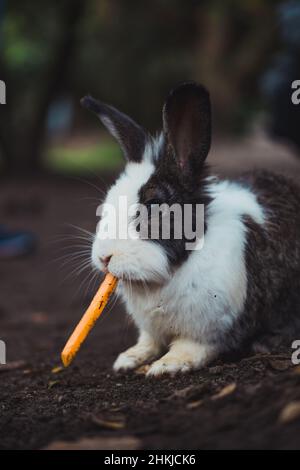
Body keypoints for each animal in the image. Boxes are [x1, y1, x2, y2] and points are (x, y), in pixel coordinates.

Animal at [80, 81, 300, 374]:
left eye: (154, 205)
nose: (104, 257)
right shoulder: (150, 330)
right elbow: (148, 342)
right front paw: (127, 359)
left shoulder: (208, 330)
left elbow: (191, 347)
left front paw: (167, 365)